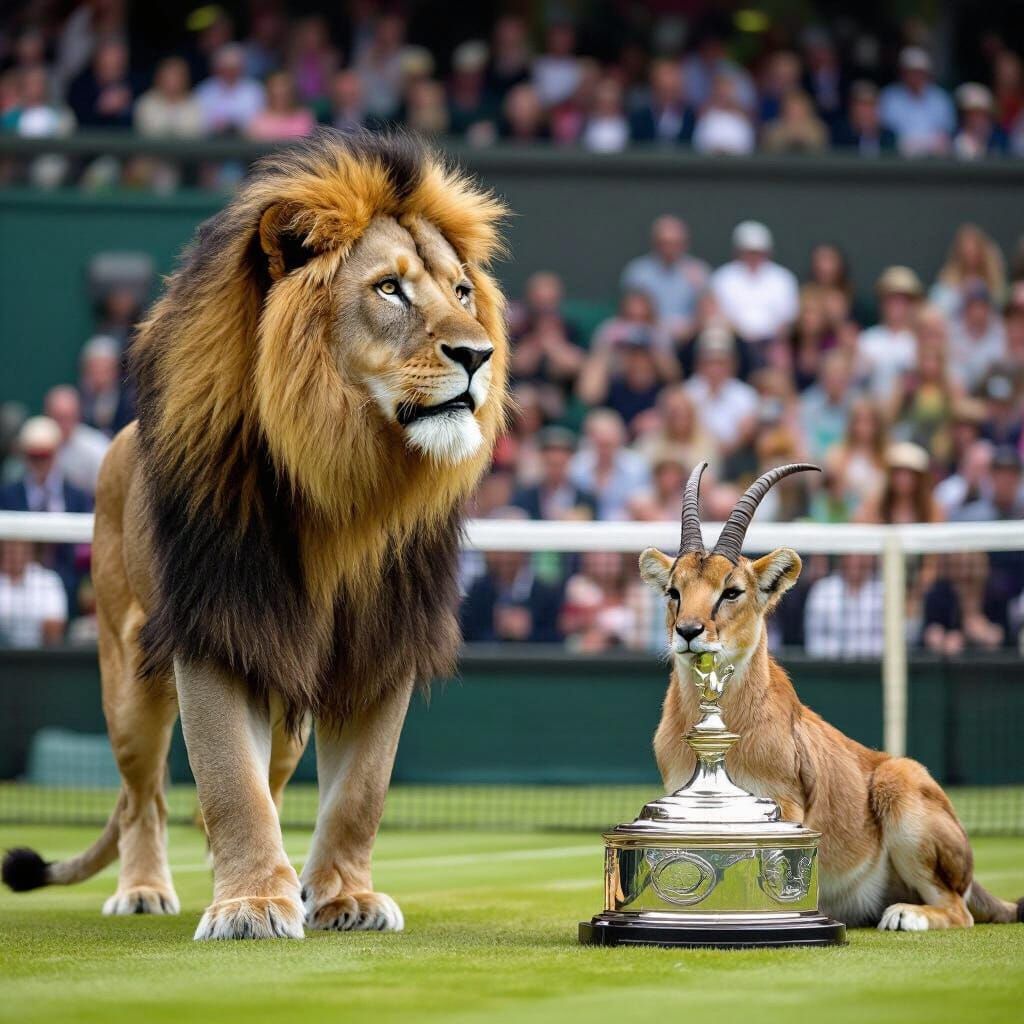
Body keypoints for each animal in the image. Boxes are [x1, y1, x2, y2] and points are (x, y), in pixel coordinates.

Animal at [2, 130, 509, 940]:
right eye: (389, 290)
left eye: (462, 292)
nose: (478, 355)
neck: (346, 481)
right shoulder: (217, 621)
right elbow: (227, 780)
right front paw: (249, 906)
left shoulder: (382, 638)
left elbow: (360, 792)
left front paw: (341, 897)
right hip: (129, 678)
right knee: (143, 797)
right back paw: (144, 889)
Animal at [640, 461, 1023, 930]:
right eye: (673, 591)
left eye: (731, 590)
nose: (689, 631)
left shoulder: (783, 809)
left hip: (902, 788)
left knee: (959, 911)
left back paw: (904, 915)